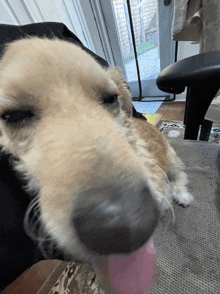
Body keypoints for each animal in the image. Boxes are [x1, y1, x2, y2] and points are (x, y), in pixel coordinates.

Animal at [0, 38, 192, 292]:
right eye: (12, 116)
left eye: (111, 99)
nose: (126, 226)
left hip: (171, 158)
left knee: (180, 176)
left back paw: (181, 194)